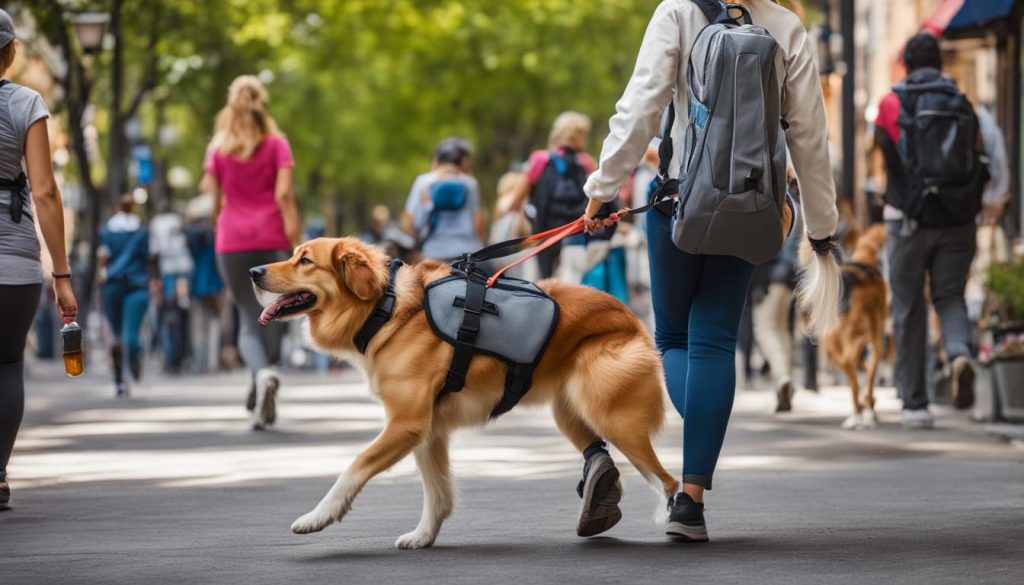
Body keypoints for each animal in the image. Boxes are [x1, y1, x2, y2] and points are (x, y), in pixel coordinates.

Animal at [248, 236, 679, 549]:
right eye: (293, 255)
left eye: (305, 261)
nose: (253, 270)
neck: (386, 309)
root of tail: (631, 317)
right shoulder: (428, 431)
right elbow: (438, 493)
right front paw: (423, 536)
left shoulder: (406, 424)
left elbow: (353, 467)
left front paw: (317, 517)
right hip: (571, 410)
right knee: (605, 458)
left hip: (612, 417)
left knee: (667, 481)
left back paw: (676, 521)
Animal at [823, 224, 888, 430]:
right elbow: (865, 371)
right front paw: (868, 406)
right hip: (870, 335)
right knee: (866, 368)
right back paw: (864, 410)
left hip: (845, 342)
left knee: (856, 369)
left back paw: (861, 411)